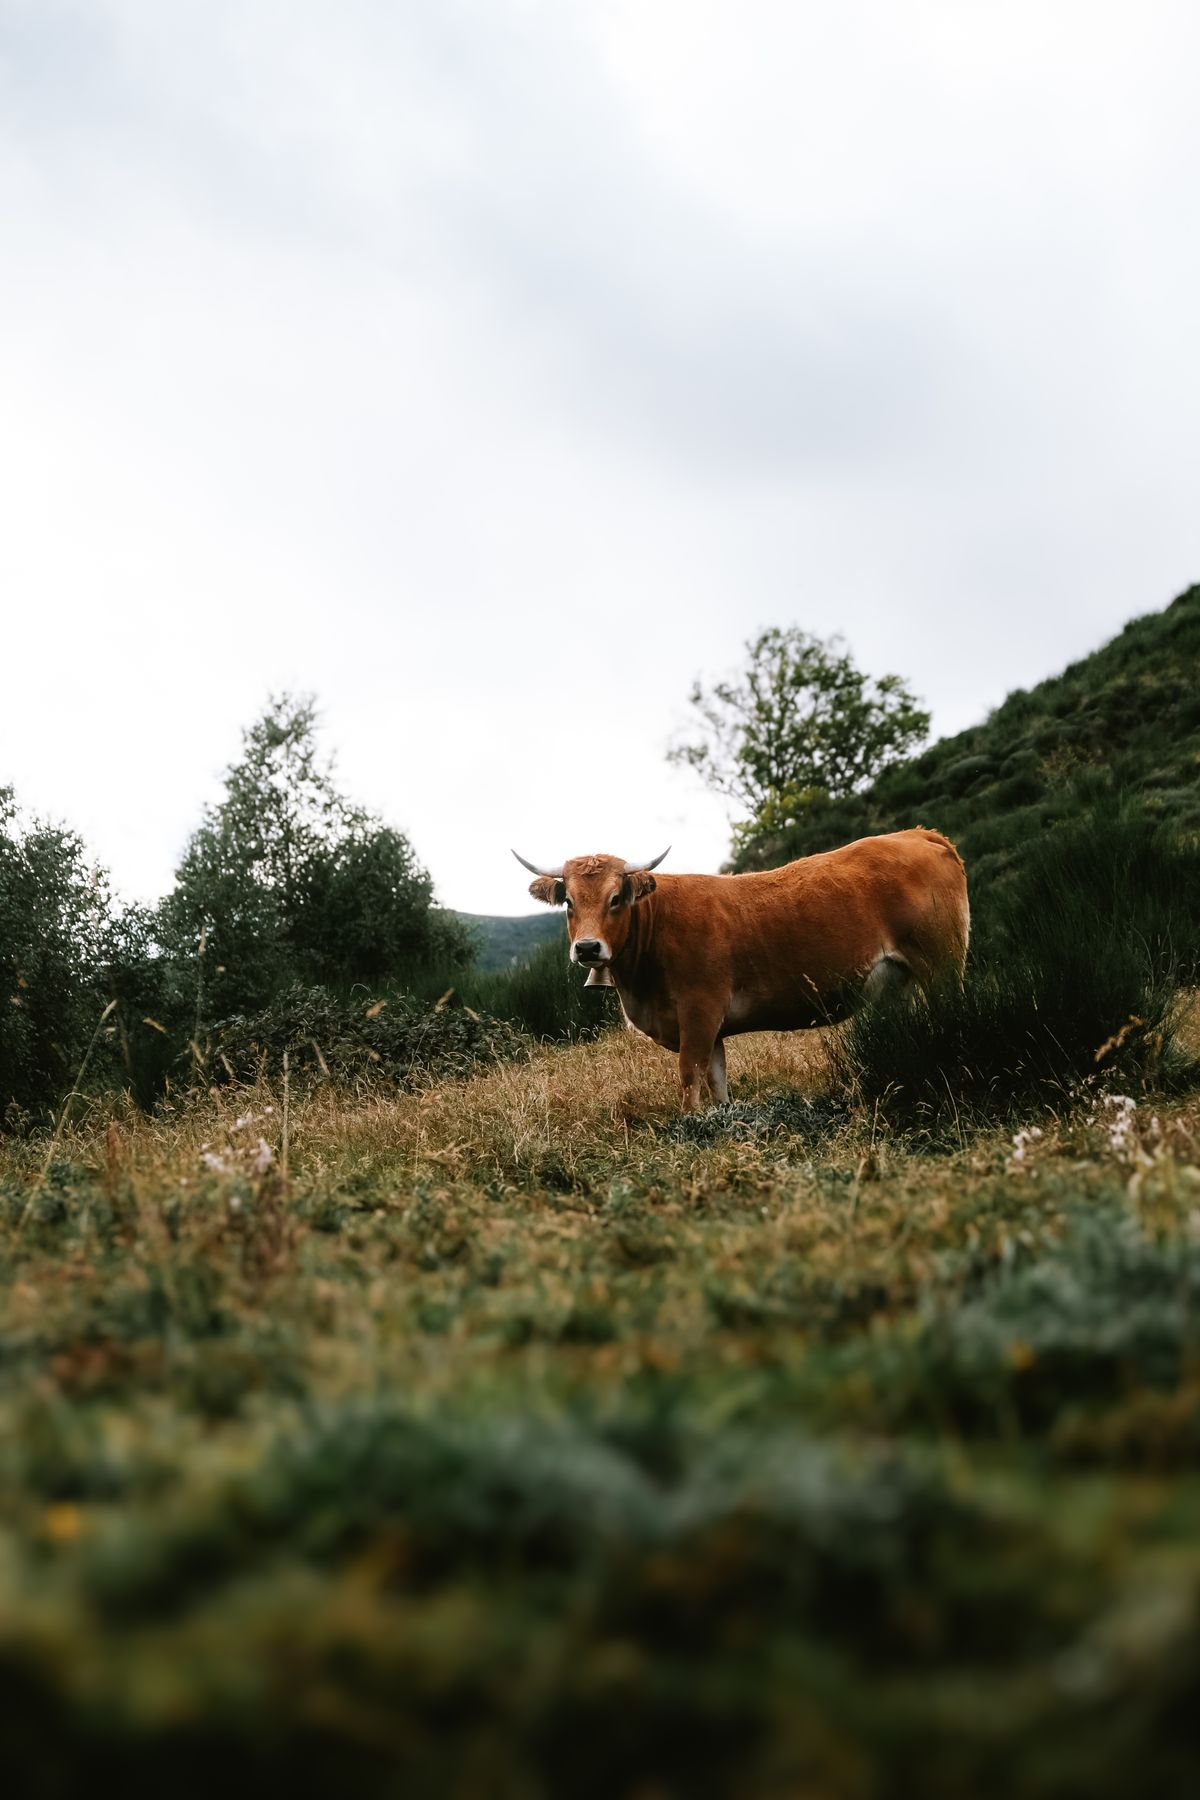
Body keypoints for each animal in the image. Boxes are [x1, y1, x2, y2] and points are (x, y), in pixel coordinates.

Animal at [512, 831, 969, 1111]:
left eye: (616, 898)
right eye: (568, 901)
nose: (588, 947)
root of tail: (916, 834)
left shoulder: (700, 1011)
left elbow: (689, 1076)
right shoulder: (709, 1028)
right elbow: (717, 1082)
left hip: (943, 965)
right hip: (900, 983)